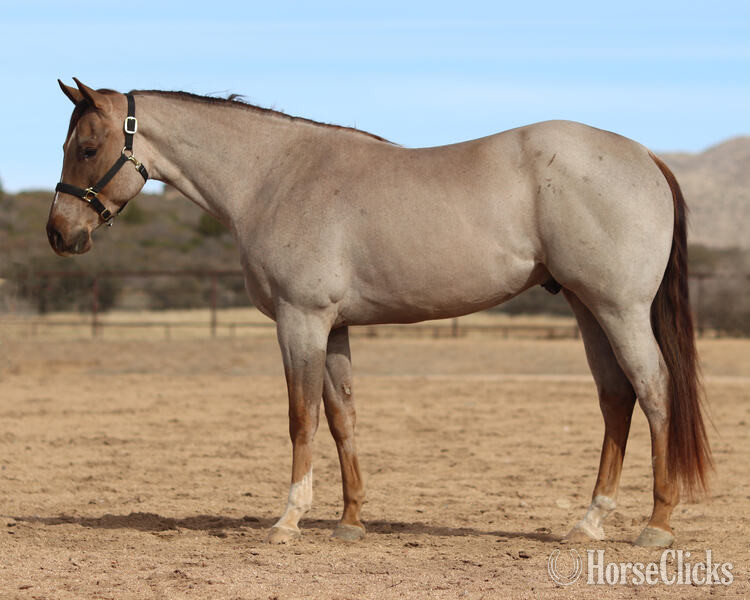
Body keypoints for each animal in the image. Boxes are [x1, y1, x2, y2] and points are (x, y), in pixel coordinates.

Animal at [47, 78, 711, 547]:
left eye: (87, 146)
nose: (60, 233)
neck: (273, 176)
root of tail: (645, 156)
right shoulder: (335, 326)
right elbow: (343, 418)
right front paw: (350, 521)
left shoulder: (301, 321)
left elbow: (302, 418)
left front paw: (288, 520)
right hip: (586, 307)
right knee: (616, 399)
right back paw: (590, 522)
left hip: (619, 309)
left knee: (655, 390)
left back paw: (656, 526)